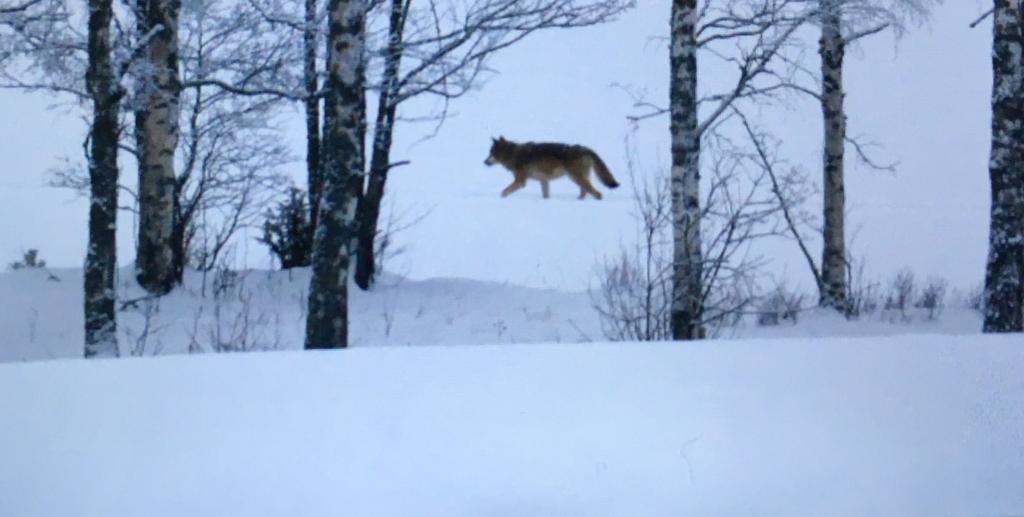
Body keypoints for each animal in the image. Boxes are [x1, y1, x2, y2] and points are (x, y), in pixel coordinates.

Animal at [483, 135, 618, 199]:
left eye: (492, 153)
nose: (484, 162)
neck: (514, 154)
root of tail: (586, 149)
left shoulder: (521, 182)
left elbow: (504, 192)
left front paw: (501, 198)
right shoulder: (544, 181)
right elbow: (546, 195)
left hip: (576, 178)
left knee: (597, 193)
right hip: (577, 179)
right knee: (585, 192)